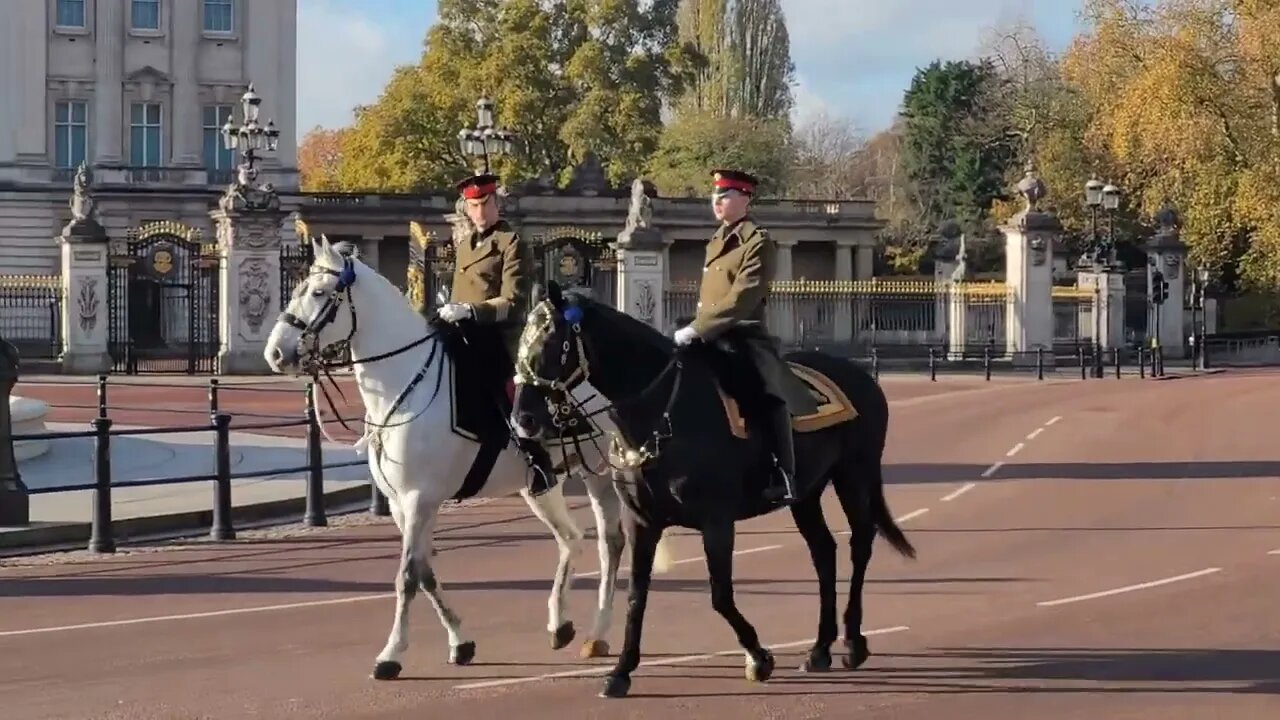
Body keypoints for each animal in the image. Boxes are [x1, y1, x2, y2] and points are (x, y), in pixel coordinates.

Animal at [261, 237, 634, 676]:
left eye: (319, 292)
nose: (275, 354)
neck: (404, 384)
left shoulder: (419, 498)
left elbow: (407, 575)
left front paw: (391, 654)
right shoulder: (402, 503)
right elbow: (424, 572)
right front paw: (460, 641)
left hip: (601, 472)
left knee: (610, 543)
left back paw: (599, 631)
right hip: (539, 484)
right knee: (571, 538)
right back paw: (560, 624)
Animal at [509, 283, 921, 696]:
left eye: (553, 341)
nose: (523, 420)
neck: (662, 413)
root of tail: (861, 374)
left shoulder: (717, 521)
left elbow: (720, 594)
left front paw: (758, 657)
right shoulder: (642, 521)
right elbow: (637, 594)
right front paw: (621, 670)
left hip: (854, 472)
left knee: (860, 543)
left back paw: (852, 643)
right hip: (806, 492)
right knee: (824, 551)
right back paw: (820, 649)